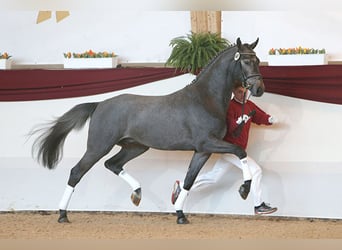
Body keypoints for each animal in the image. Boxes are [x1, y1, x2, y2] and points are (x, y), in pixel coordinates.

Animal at [32, 37, 264, 225]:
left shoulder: (202, 151)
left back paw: (137, 193)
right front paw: (244, 189)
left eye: (258, 60)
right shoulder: (207, 143)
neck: (205, 99)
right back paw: (62, 214)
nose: (259, 88)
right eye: (245, 61)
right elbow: (240, 151)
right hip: (99, 146)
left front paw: (180, 215)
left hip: (135, 147)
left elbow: (189, 180)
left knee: (112, 164)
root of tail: (99, 104)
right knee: (77, 172)